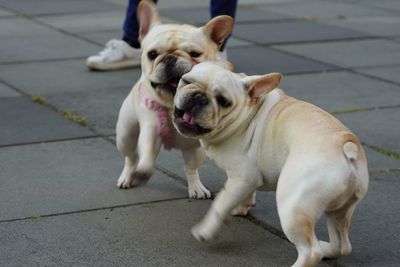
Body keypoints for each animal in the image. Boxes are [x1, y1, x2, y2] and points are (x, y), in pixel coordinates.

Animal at [112, 0, 233, 199]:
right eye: (152, 54)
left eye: (195, 54)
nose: (170, 58)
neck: (171, 104)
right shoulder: (151, 130)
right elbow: (146, 155)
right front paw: (142, 172)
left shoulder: (196, 145)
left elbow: (193, 165)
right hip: (125, 135)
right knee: (131, 157)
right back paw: (128, 176)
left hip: (191, 150)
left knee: (190, 168)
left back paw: (196, 188)